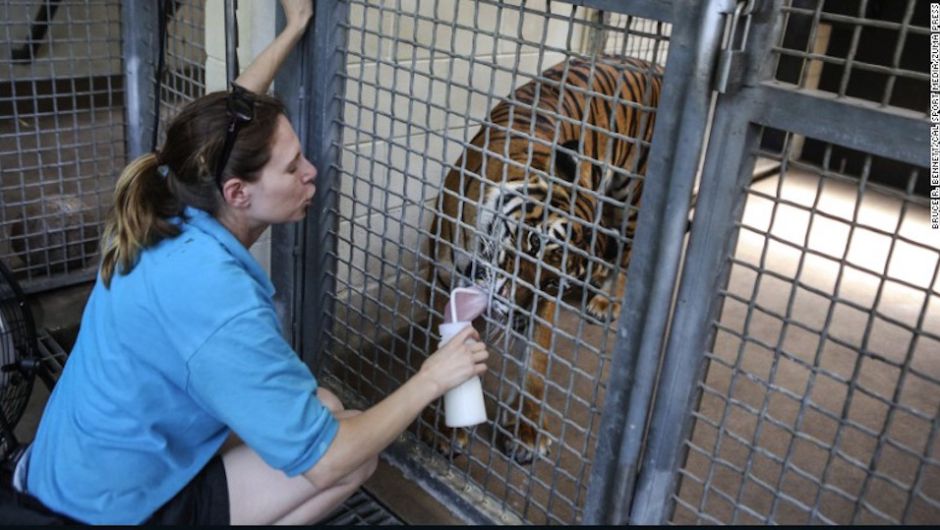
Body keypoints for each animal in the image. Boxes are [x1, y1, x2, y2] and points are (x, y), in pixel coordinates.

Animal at [426, 54, 660, 462]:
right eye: (533, 242)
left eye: (552, 283)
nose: (510, 306)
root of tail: (653, 64)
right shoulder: (440, 279)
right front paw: (446, 429)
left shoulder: (539, 308)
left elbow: (535, 362)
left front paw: (528, 431)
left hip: (634, 193)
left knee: (629, 254)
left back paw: (604, 301)